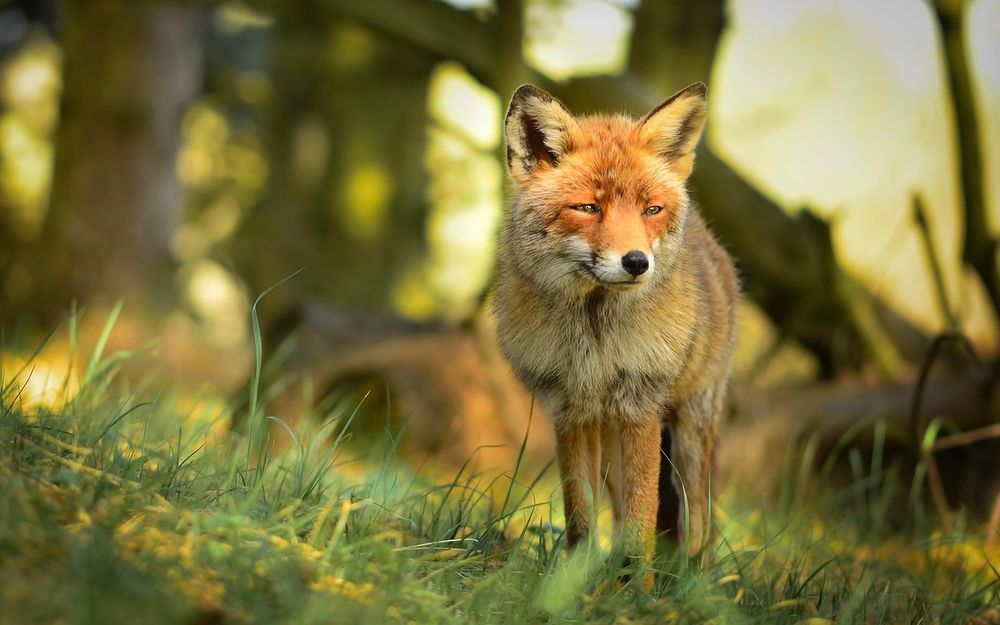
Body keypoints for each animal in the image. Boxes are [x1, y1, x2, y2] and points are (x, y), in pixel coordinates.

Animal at [491, 82, 738, 576]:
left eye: (651, 210)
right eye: (588, 207)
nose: (637, 262)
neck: (594, 339)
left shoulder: (641, 405)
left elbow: (643, 523)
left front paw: (638, 588)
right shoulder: (570, 409)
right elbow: (581, 518)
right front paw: (572, 582)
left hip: (690, 432)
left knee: (699, 521)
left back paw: (691, 582)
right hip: (611, 441)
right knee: (624, 511)